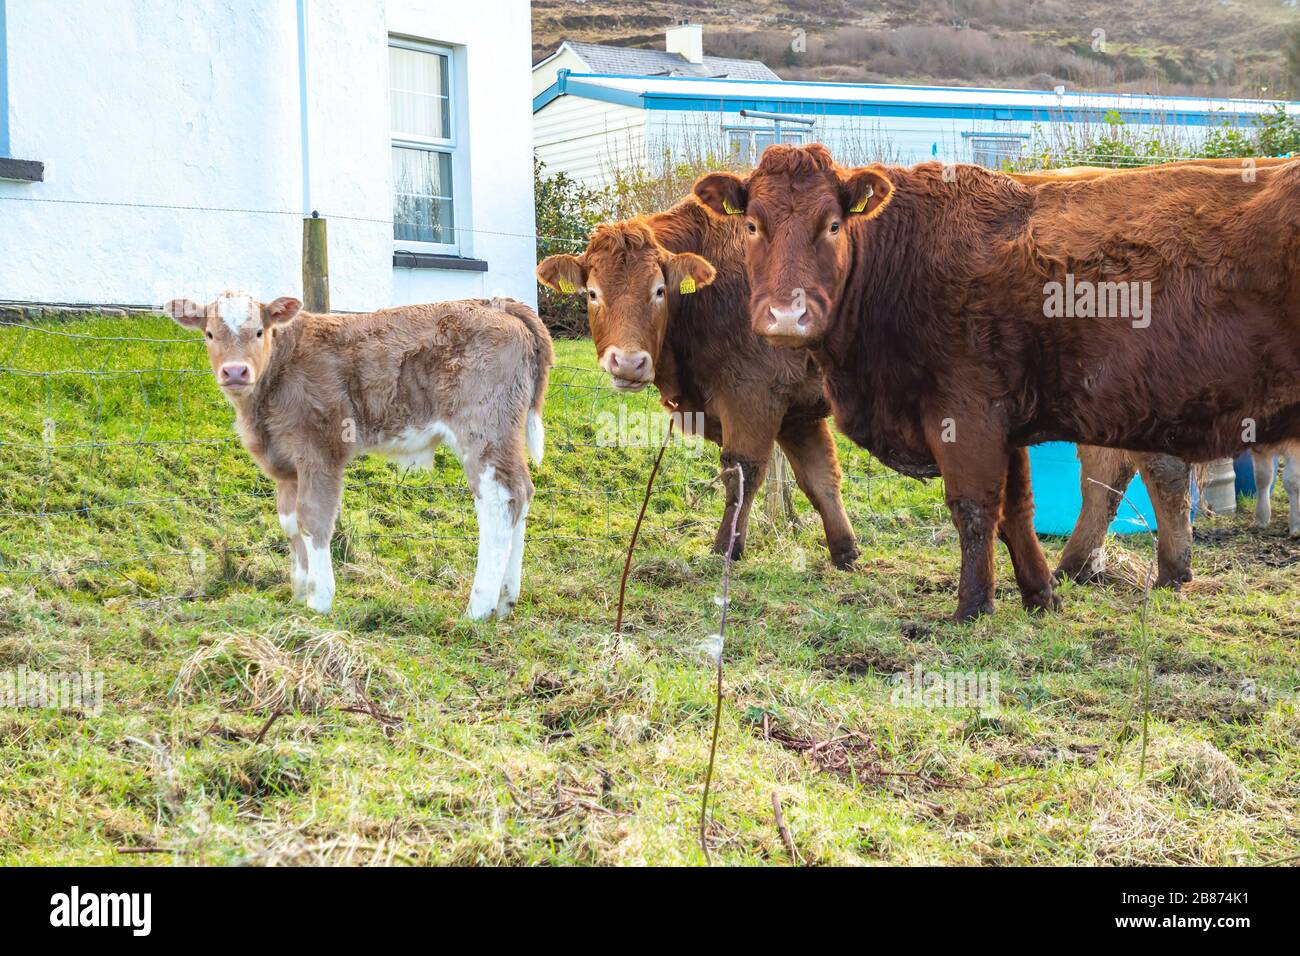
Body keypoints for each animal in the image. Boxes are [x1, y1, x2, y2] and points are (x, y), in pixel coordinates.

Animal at [165, 293, 551, 621]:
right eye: (210, 333)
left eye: (259, 331)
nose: (235, 372)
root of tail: (495, 302)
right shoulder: (286, 465)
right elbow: (290, 524)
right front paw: (299, 595)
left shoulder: (319, 450)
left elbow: (313, 519)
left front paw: (319, 600)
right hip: (503, 432)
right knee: (520, 492)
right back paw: (505, 601)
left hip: (483, 426)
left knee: (497, 501)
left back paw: (478, 607)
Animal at [538, 204, 863, 567]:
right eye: (593, 293)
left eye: (659, 290)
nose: (628, 362)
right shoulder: (797, 412)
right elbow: (821, 478)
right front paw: (845, 552)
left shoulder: (751, 394)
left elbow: (741, 473)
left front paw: (726, 548)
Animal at [696, 141, 1300, 621]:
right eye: (752, 225)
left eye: (833, 225)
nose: (786, 316)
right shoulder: (1006, 426)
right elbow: (1017, 513)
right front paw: (1040, 595)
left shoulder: (967, 415)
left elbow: (975, 508)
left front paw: (973, 605)